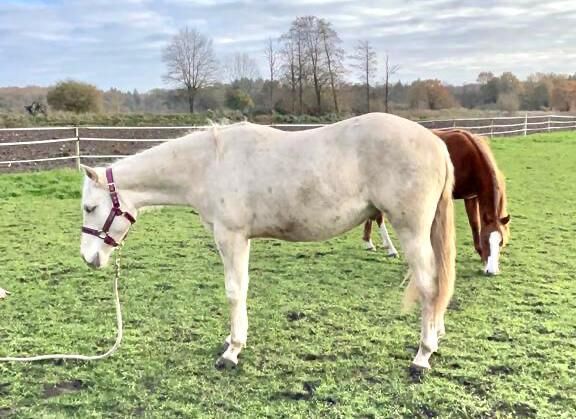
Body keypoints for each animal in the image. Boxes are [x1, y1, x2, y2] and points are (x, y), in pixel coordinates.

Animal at [80, 114, 454, 370]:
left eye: (90, 207)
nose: (89, 258)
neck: (210, 165)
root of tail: (436, 143)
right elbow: (242, 289)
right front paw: (234, 341)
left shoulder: (231, 237)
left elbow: (234, 291)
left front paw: (231, 351)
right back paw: (435, 337)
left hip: (412, 231)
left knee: (428, 287)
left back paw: (422, 355)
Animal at [364, 130, 508, 278]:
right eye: (485, 240)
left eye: (501, 241)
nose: (492, 271)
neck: (471, 157)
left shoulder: (471, 197)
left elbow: (475, 225)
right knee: (379, 217)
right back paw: (390, 249)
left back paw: (369, 242)